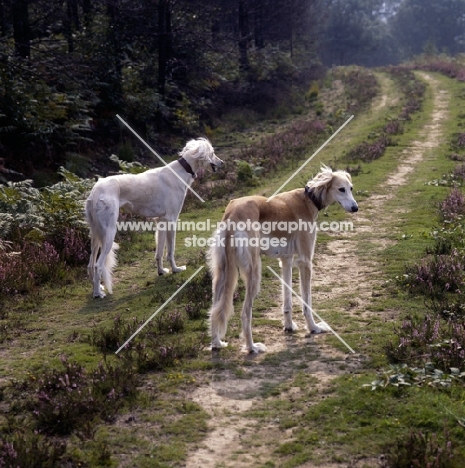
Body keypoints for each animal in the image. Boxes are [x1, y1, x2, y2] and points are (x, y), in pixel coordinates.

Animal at [85, 137, 223, 298]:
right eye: (212, 153)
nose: (222, 162)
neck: (181, 170)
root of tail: (95, 191)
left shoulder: (161, 221)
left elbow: (159, 252)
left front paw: (161, 271)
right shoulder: (171, 220)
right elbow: (170, 251)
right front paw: (176, 269)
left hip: (95, 234)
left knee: (90, 264)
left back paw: (98, 287)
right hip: (109, 232)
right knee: (98, 264)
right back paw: (97, 293)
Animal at [208, 166, 358, 352]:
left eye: (351, 188)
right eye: (341, 189)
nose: (355, 208)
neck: (308, 200)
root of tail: (231, 215)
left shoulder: (286, 260)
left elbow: (287, 301)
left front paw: (289, 326)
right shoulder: (305, 261)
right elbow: (306, 302)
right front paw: (314, 328)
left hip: (221, 272)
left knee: (215, 309)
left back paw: (216, 342)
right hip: (253, 271)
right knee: (245, 313)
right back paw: (251, 347)